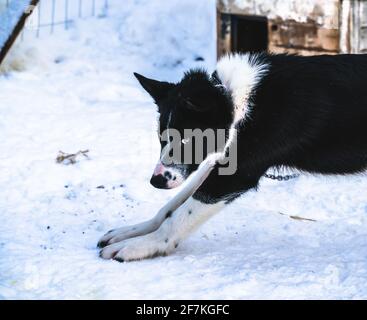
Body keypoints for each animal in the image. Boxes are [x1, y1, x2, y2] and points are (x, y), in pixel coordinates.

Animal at [98, 52, 367, 262]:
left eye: (187, 139)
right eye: (162, 138)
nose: (155, 181)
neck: (235, 100)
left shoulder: (235, 175)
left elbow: (180, 216)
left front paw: (142, 245)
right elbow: (172, 206)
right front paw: (135, 231)